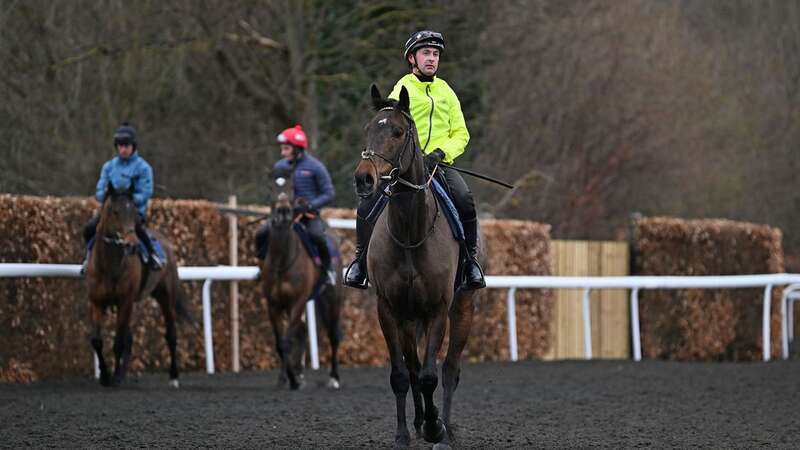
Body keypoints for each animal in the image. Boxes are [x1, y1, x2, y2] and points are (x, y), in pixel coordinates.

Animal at [85, 183, 191, 386]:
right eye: (114, 211)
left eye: (134, 212)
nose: (131, 244)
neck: (109, 266)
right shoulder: (97, 302)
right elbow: (97, 341)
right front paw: (105, 375)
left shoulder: (125, 301)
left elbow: (118, 342)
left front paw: (114, 376)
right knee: (130, 338)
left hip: (166, 297)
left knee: (171, 335)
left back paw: (173, 376)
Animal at [258, 172, 342, 390]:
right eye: (271, 188)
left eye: (291, 189)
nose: (283, 212)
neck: (282, 260)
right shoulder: (273, 304)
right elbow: (280, 343)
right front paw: (285, 378)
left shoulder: (296, 301)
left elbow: (287, 341)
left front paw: (294, 379)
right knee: (302, 331)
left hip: (332, 299)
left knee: (334, 335)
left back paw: (334, 378)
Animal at [354, 85, 478, 450]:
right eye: (368, 128)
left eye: (397, 131)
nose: (364, 179)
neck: (411, 231)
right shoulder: (389, 308)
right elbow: (402, 374)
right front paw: (404, 433)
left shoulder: (438, 308)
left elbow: (430, 376)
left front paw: (436, 428)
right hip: (409, 318)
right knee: (412, 367)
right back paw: (423, 420)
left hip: (462, 306)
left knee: (449, 370)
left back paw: (445, 427)